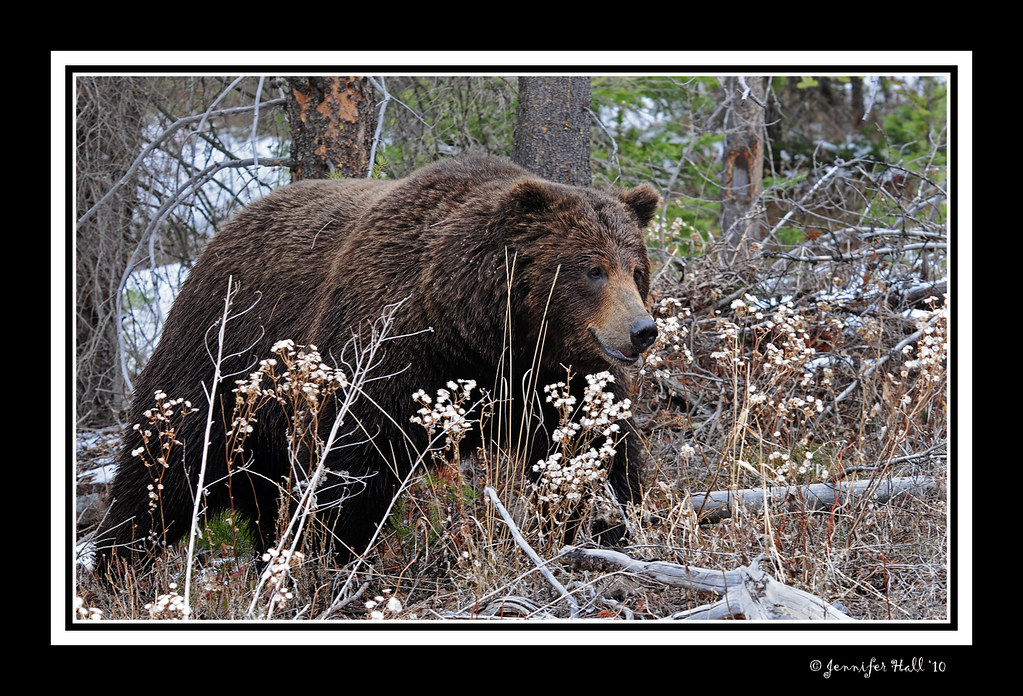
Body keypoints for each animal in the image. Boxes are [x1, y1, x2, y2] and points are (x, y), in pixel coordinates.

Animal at [92, 156, 660, 570]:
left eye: (636, 269)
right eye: (592, 270)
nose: (643, 330)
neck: (479, 334)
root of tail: (222, 233)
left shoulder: (553, 376)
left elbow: (594, 445)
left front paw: (607, 521)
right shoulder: (388, 351)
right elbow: (351, 468)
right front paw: (333, 557)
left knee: (258, 495)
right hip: (222, 360)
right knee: (167, 470)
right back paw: (120, 565)